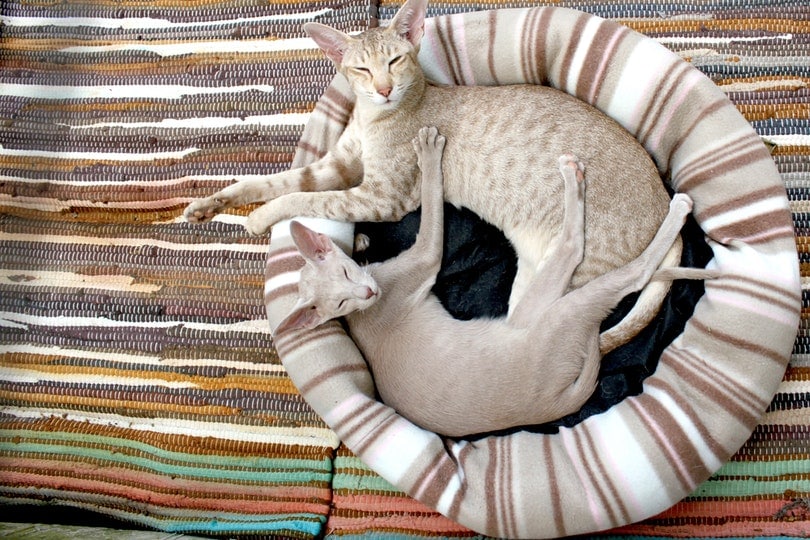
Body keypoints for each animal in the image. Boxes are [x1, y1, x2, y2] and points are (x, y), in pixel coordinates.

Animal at [186, 0, 684, 354]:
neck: (374, 117)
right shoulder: (339, 165)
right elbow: (279, 182)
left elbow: (303, 200)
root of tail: (662, 194)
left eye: (396, 61)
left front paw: (260, 219)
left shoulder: (380, 197)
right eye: (362, 68)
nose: (384, 89)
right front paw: (211, 204)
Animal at [274, 127, 696, 438]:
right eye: (342, 305)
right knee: (603, 259)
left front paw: (362, 240)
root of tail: (555, 403)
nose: (367, 292)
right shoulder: (427, 253)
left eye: (345, 280)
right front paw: (428, 154)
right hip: (552, 309)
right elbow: (431, 196)